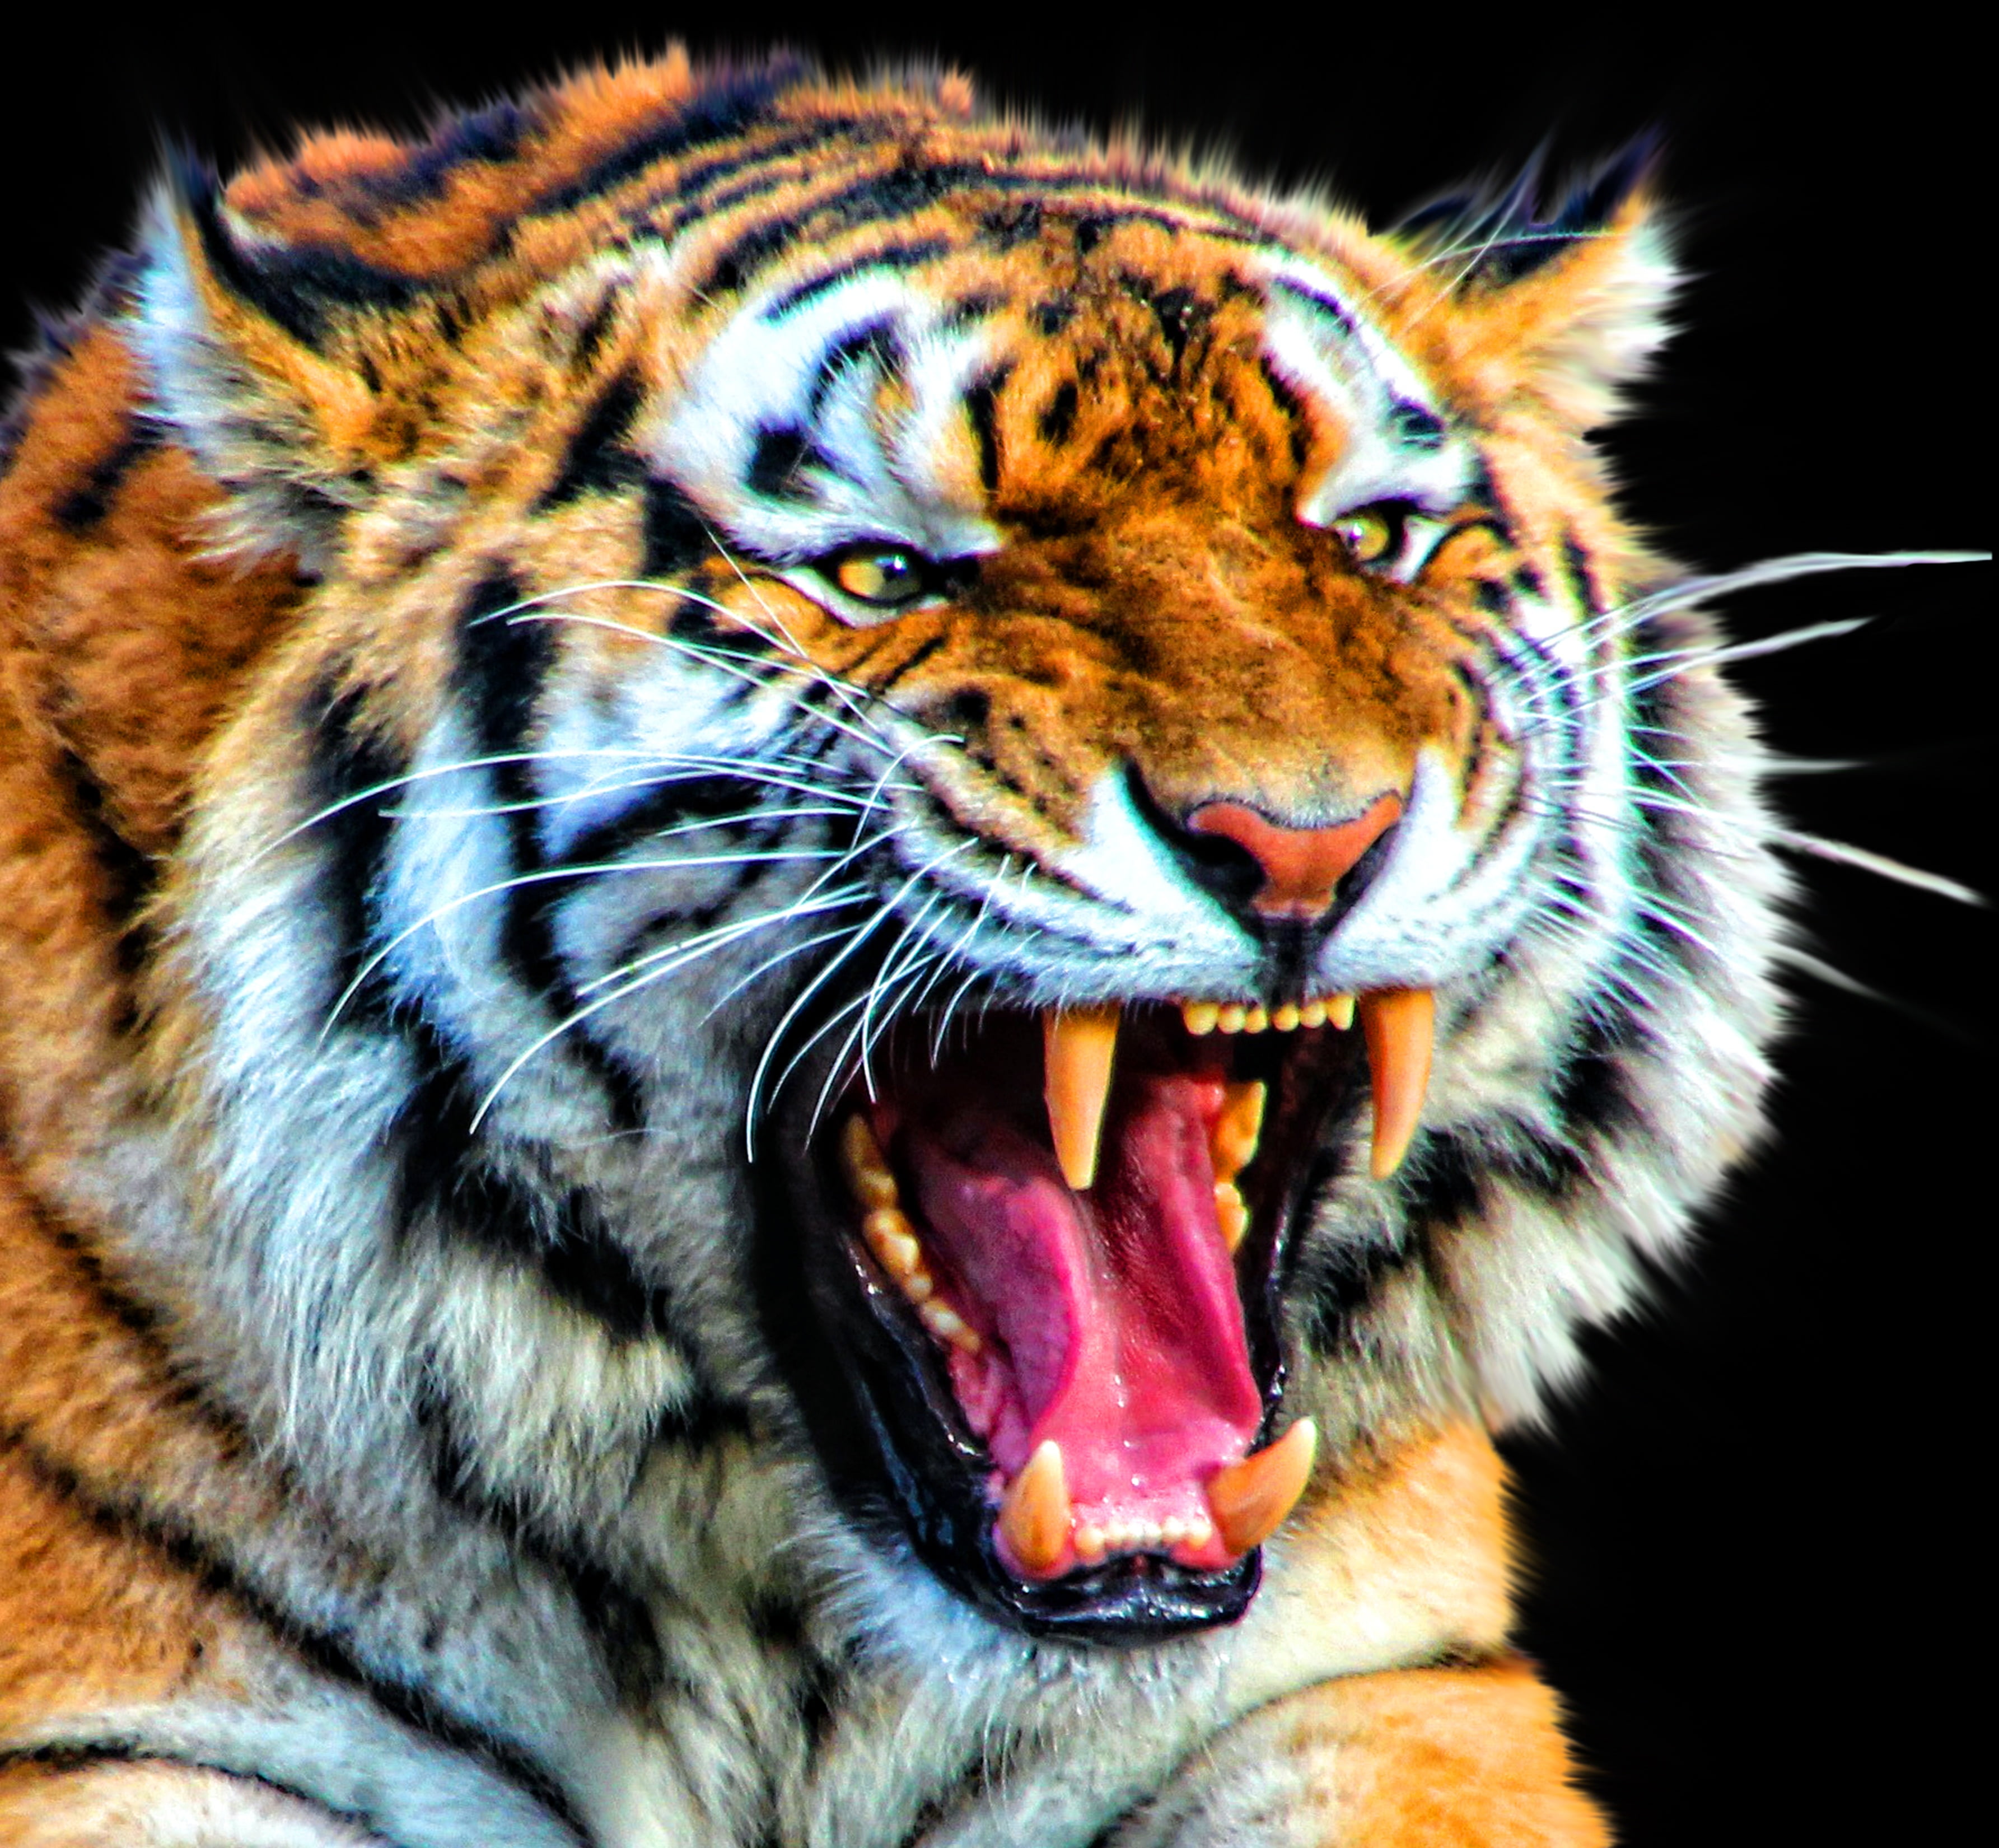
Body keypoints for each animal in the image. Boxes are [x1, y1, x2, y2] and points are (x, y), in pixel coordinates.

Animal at [0, 46, 1967, 1848]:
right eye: (883, 573)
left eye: (1372, 539)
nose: (1302, 840)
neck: (792, 1646)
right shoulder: (129, 1737)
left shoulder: (1360, 1676)